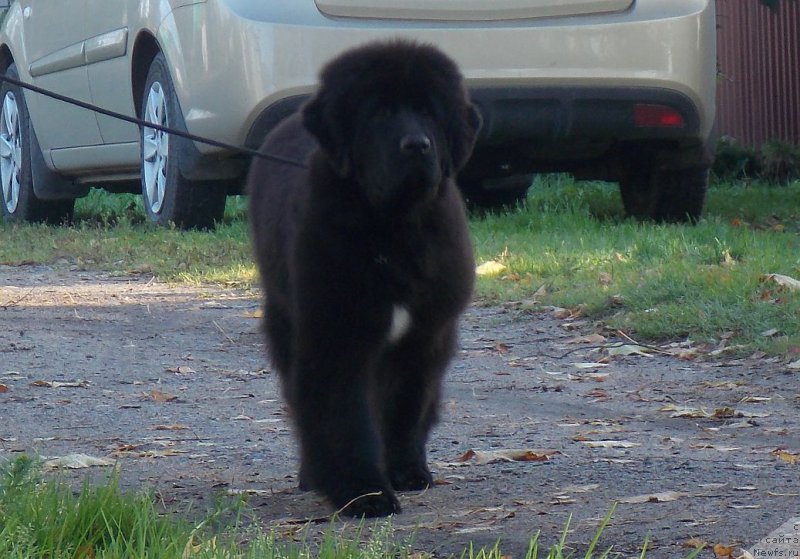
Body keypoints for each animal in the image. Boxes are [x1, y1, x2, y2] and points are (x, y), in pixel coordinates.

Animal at [247, 40, 482, 520]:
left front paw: (406, 471)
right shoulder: (336, 334)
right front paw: (363, 492)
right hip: (285, 319)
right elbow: (342, 416)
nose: (416, 145)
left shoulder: (425, 339)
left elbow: (406, 409)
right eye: (379, 114)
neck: (393, 228)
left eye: (428, 112)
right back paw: (311, 474)